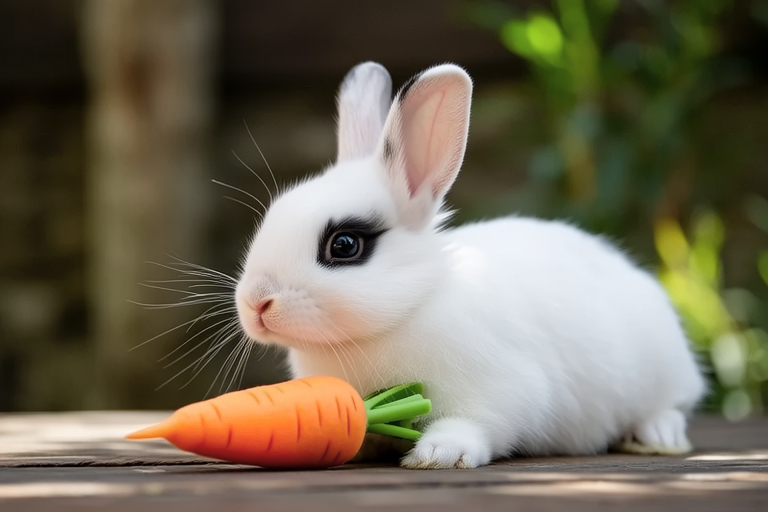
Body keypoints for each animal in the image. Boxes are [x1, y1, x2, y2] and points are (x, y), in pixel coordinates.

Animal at [234, 61, 707, 469]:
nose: (256, 303)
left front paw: (438, 454)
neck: (405, 311)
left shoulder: (505, 391)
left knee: (672, 405)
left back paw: (657, 435)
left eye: (345, 245)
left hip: (661, 371)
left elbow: (478, 422)